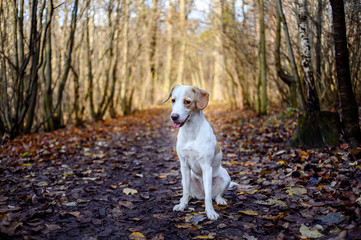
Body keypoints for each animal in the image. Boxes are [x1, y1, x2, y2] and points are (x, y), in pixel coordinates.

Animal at [162, 85, 235, 220]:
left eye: (187, 102)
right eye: (173, 100)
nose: (174, 116)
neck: (191, 132)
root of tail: (200, 194)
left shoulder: (206, 167)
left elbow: (209, 197)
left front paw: (210, 212)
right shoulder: (184, 166)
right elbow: (185, 191)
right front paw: (182, 206)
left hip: (225, 176)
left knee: (215, 195)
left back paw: (220, 200)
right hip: (187, 178)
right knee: (189, 193)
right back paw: (184, 200)